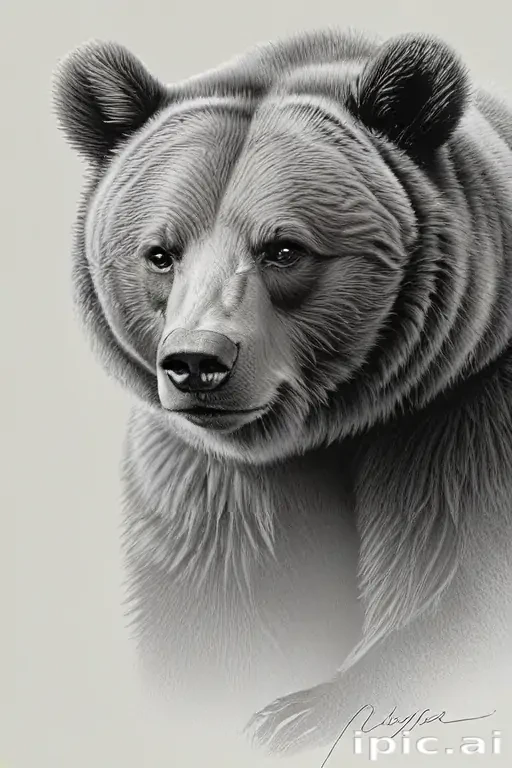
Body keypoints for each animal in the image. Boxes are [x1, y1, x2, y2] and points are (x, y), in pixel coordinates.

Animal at [53, 27, 512, 756]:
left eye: (284, 248)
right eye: (160, 253)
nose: (197, 362)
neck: (319, 433)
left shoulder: (460, 419)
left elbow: (456, 593)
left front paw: (297, 713)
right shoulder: (207, 479)